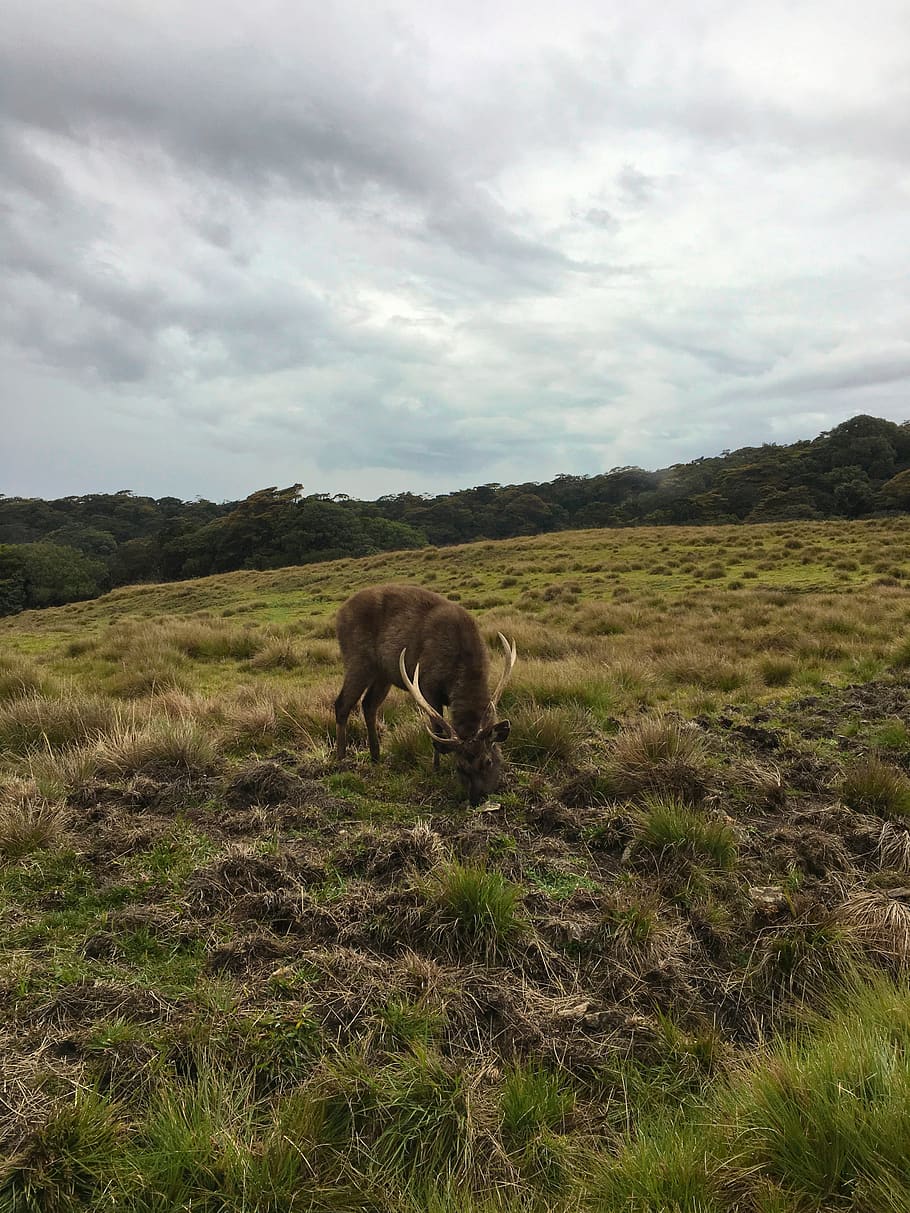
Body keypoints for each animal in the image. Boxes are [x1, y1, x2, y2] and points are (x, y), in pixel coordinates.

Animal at [334, 579, 519, 800]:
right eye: (460, 766)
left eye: (488, 761)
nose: (476, 798)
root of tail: (339, 614)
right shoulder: (427, 686)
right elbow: (437, 729)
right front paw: (436, 769)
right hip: (358, 659)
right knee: (342, 704)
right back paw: (341, 759)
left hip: (383, 673)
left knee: (368, 704)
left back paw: (375, 756)